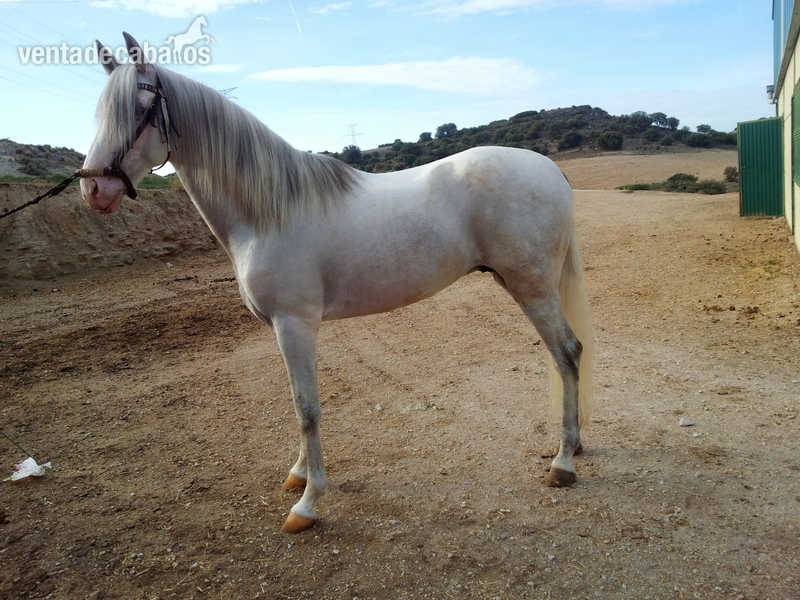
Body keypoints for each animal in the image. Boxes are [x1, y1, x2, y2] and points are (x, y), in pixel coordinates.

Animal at [80, 33, 594, 534]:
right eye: (99, 111)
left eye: (140, 109)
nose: (94, 189)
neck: (269, 211)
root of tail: (550, 168)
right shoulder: (283, 328)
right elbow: (297, 402)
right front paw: (298, 475)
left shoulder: (295, 324)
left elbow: (307, 408)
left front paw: (308, 505)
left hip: (533, 288)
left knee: (567, 354)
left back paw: (563, 463)